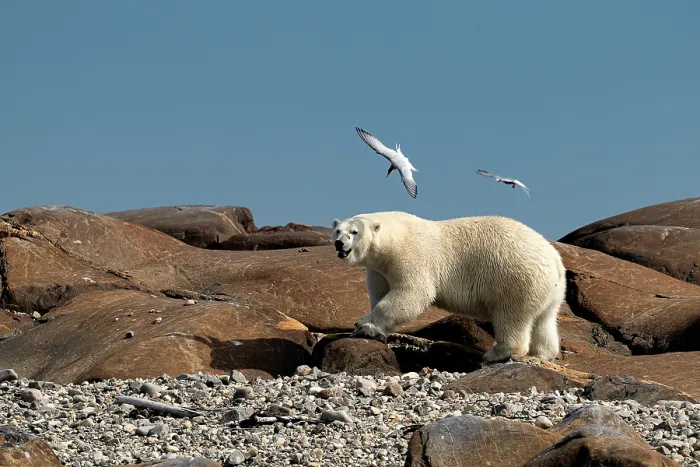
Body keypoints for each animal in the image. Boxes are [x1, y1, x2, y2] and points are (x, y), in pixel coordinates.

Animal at [331, 211, 566, 363]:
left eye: (354, 232)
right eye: (338, 231)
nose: (339, 243)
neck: (394, 236)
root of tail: (555, 259)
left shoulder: (411, 255)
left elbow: (412, 293)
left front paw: (364, 325)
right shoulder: (379, 269)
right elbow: (379, 293)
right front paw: (371, 327)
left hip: (515, 279)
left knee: (511, 316)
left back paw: (497, 353)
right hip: (550, 289)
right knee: (544, 319)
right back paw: (542, 354)